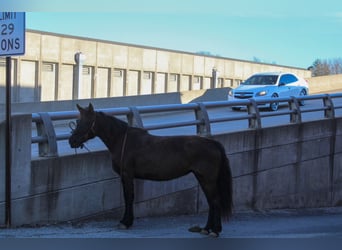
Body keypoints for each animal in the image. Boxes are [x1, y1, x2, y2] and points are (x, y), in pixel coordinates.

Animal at [69, 103, 234, 236]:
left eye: (86, 121)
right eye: (77, 121)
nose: (72, 141)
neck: (122, 140)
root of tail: (213, 143)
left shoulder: (127, 175)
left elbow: (129, 197)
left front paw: (126, 222)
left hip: (208, 179)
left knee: (215, 201)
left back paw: (215, 230)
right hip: (202, 177)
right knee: (211, 202)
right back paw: (206, 229)